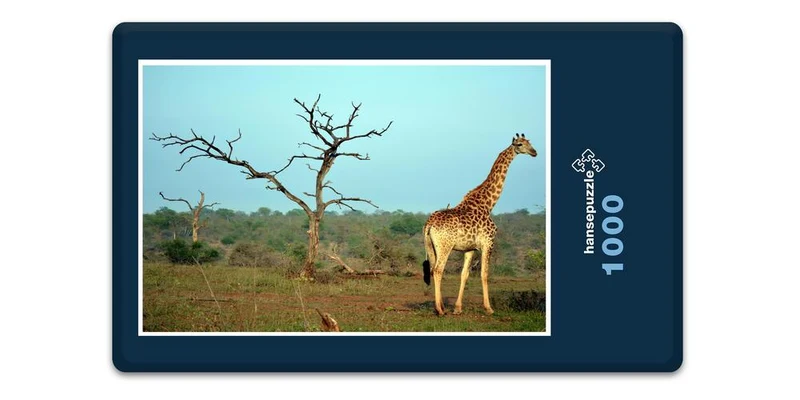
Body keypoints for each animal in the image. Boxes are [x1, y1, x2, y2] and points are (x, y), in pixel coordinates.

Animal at [422, 133, 537, 316]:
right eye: (520, 144)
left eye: (529, 143)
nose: (534, 152)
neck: (488, 204)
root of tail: (429, 223)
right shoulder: (488, 243)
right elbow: (484, 274)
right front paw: (489, 308)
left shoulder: (469, 249)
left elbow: (464, 274)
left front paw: (458, 308)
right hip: (445, 246)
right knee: (438, 270)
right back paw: (440, 310)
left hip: (431, 246)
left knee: (433, 269)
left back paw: (440, 307)